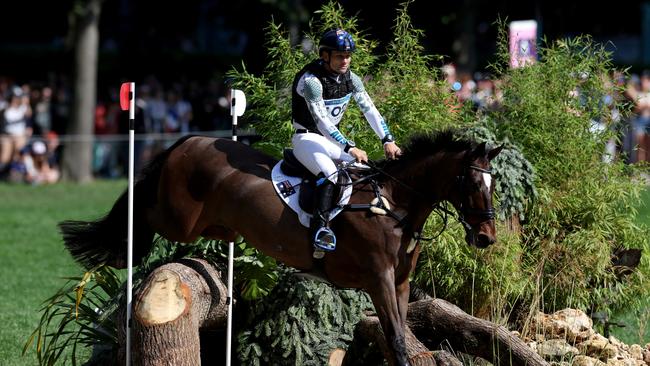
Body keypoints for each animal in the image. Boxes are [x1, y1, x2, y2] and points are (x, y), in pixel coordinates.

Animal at [59, 130, 502, 364]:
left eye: (493, 182)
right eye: (470, 182)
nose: (486, 237)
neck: (394, 204)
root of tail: (189, 141)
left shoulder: (401, 282)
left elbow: (400, 341)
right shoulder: (378, 280)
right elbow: (395, 338)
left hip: (215, 224)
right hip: (177, 219)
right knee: (141, 208)